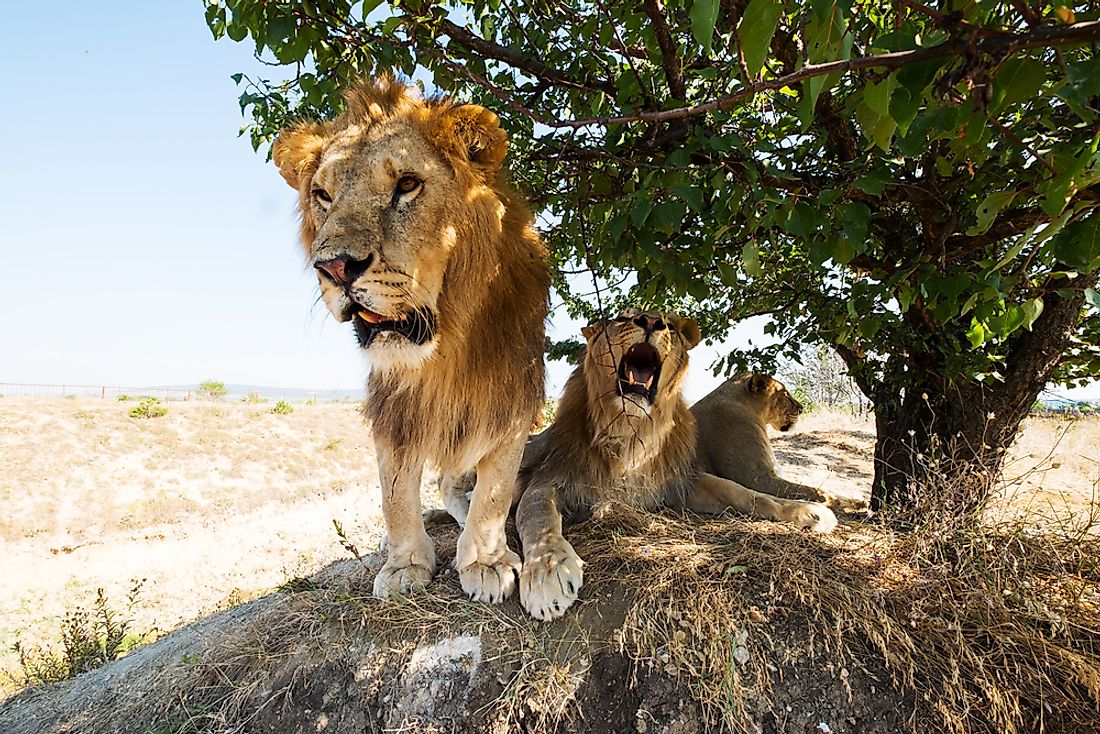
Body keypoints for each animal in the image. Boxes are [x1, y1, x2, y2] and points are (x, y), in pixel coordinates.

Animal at [272, 77, 547, 607]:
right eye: (322, 195)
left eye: (406, 185)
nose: (335, 267)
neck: (447, 347)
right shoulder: (392, 406)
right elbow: (394, 492)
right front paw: (404, 565)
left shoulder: (513, 391)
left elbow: (495, 489)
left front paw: (485, 561)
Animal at [510, 308, 836, 625]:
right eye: (622, 318)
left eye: (668, 324)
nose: (651, 321)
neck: (631, 432)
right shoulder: (551, 478)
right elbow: (538, 515)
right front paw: (548, 570)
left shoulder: (680, 481)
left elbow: (745, 492)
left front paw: (807, 511)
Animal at [695, 376, 866, 515]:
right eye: (785, 395)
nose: (801, 409)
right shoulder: (756, 479)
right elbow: (812, 491)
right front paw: (841, 503)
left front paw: (858, 502)